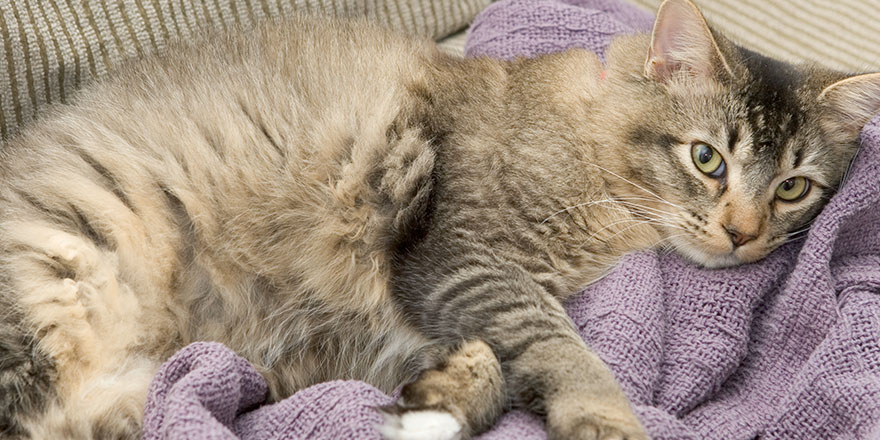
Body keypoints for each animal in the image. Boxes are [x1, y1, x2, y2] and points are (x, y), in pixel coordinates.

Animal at [1, 0, 880, 438]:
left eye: (793, 188)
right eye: (707, 160)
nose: (743, 235)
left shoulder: (403, 318)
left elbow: (493, 363)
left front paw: (439, 403)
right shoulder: (462, 255)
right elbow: (565, 349)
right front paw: (606, 421)